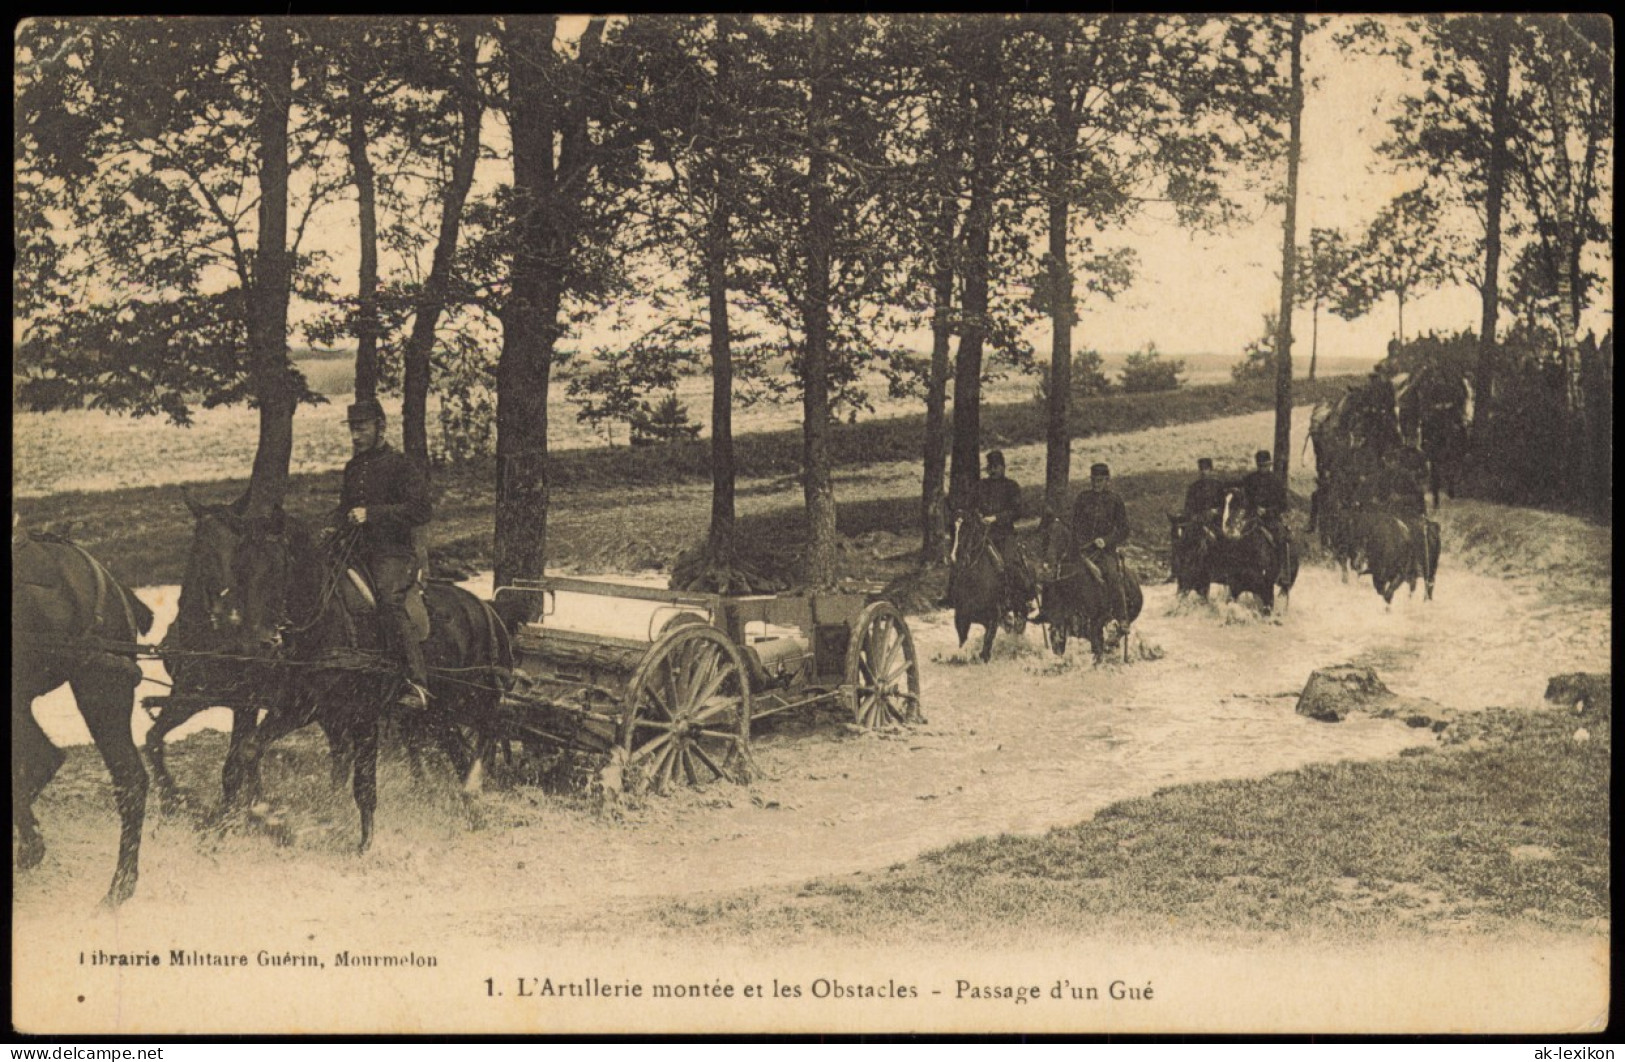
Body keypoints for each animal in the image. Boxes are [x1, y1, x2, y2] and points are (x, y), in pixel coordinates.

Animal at [214, 509, 507, 857]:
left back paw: (474, 790)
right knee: (460, 752)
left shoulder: (359, 715)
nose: (252, 641)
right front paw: (260, 811)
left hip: (474, 698)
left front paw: (365, 842)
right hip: (440, 713)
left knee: (488, 734)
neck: (326, 620)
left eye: (276, 568)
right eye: (238, 567)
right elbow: (249, 748)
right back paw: (472, 811)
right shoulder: (301, 707)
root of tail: (484, 608)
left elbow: (364, 784)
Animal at [949, 509, 1020, 665]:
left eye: (968, 530)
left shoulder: (994, 614)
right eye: (953, 531)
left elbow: (988, 638)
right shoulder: (962, 614)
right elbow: (962, 636)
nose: (955, 558)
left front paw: (984, 656)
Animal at [1040, 519, 1144, 662]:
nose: (1047, 565)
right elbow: (1058, 643)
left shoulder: (1097, 621)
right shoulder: (1060, 624)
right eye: (1047, 536)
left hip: (1129, 615)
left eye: (1062, 537)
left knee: (1119, 633)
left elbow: (1097, 646)